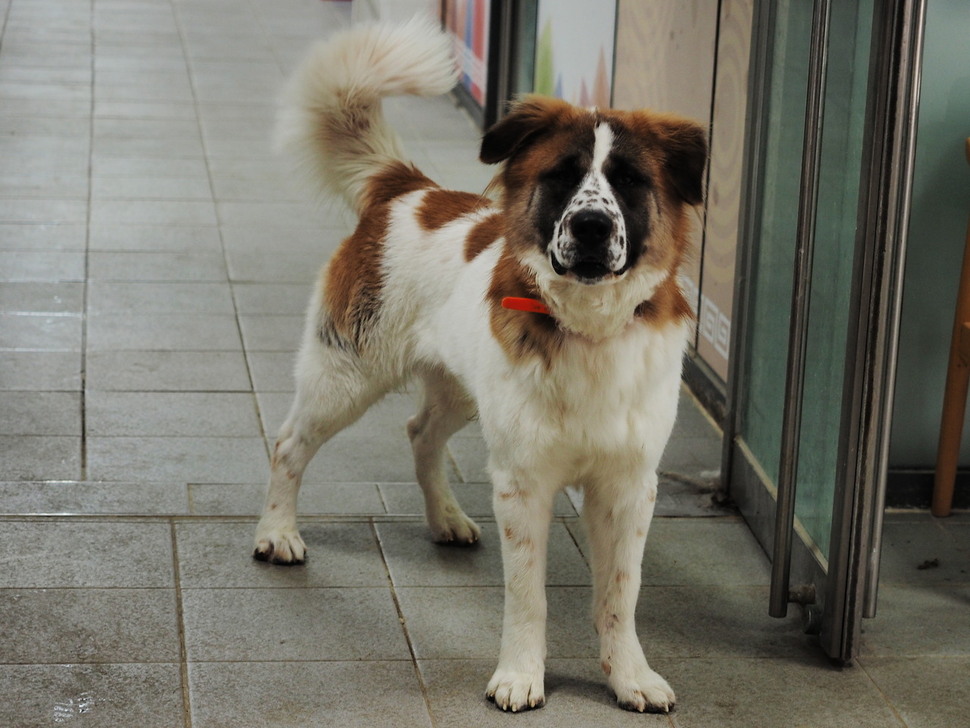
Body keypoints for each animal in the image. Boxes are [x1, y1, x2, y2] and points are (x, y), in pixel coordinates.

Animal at [250, 19, 704, 712]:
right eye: (562, 176)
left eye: (629, 181)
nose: (592, 227)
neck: (588, 327)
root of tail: (409, 189)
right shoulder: (522, 482)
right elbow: (528, 596)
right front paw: (519, 675)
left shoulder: (629, 486)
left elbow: (620, 594)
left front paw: (630, 676)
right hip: (346, 375)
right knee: (289, 444)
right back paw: (278, 532)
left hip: (463, 391)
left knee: (420, 434)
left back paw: (444, 519)